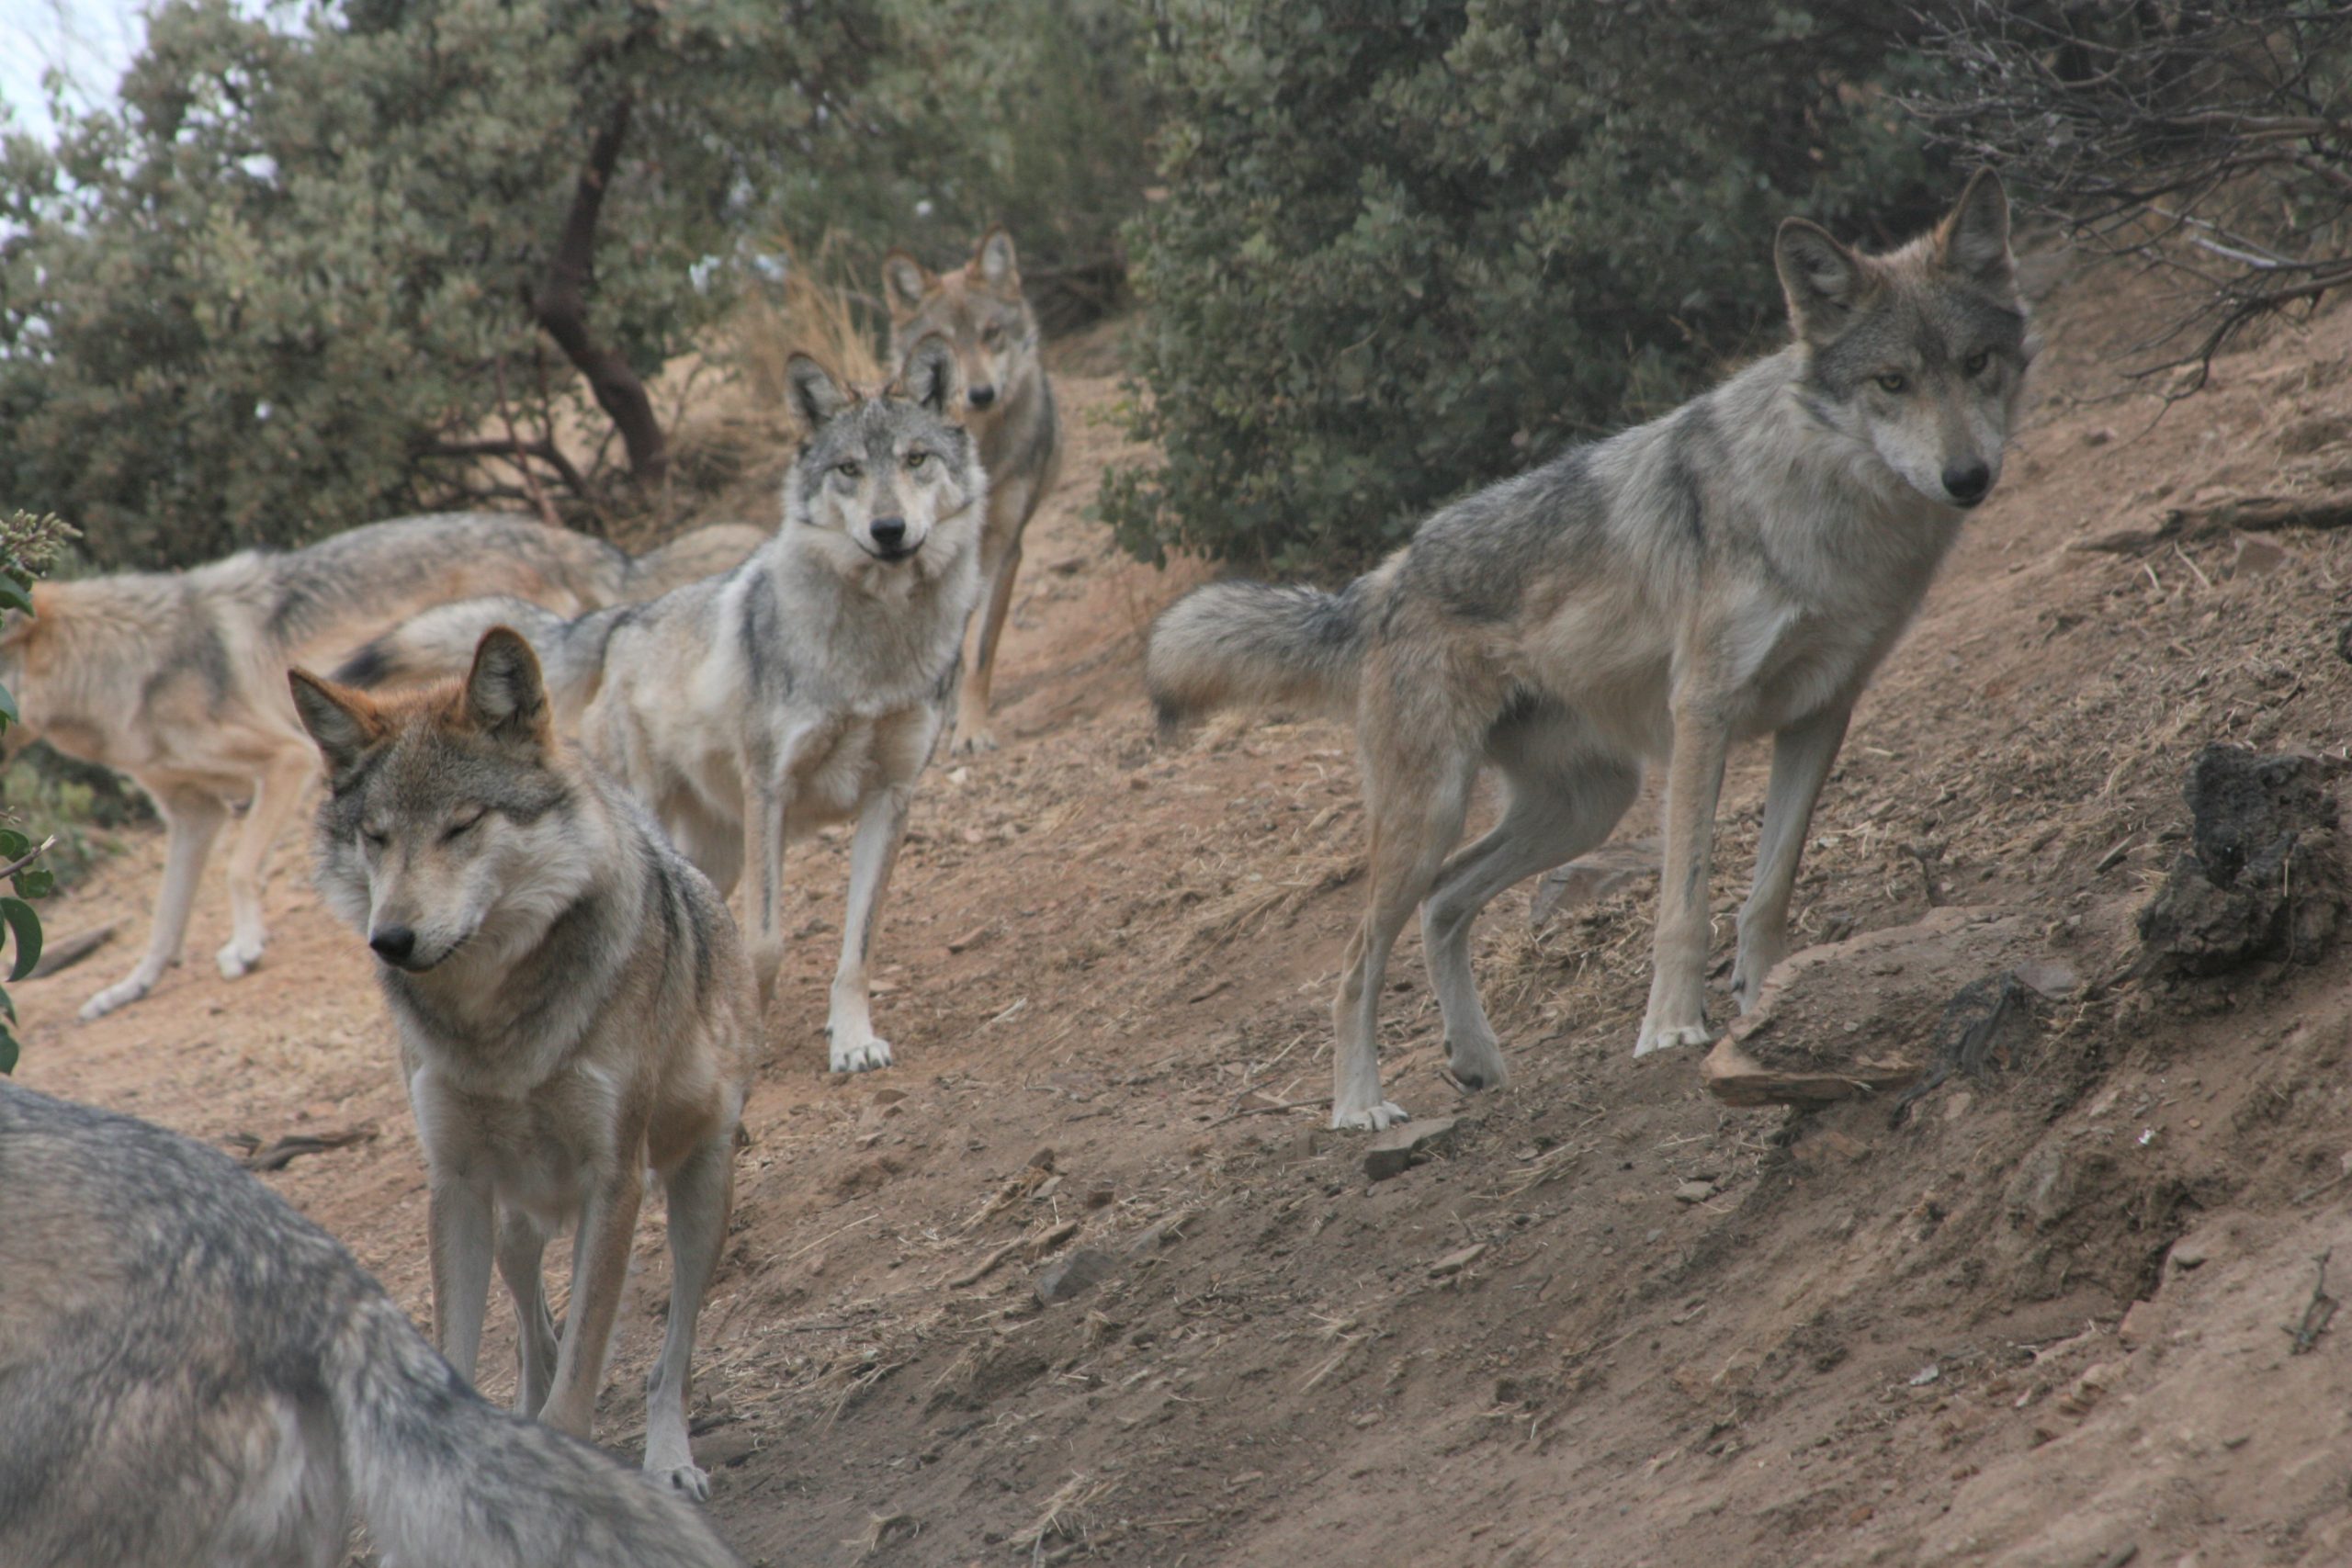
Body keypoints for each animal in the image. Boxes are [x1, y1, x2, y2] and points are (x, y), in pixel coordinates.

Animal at [0, 512, 764, 1022]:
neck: (124, 665)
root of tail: (577, 541)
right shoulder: (193, 812)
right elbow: (165, 917)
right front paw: (129, 986)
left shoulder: (283, 762)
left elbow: (240, 869)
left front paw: (246, 946)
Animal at [288, 628, 756, 1500]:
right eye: (377, 836)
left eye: (462, 826)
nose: (390, 939)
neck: (495, 1028)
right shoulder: (457, 1183)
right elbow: (476, 1354)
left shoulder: (615, 1178)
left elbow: (582, 1378)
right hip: (517, 1222)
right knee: (535, 1335)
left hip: (700, 1193)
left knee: (669, 1355)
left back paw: (670, 1461)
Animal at [330, 338, 982, 1078]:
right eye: (849, 469)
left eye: (915, 459)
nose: (888, 529)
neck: (875, 651)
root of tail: (619, 622)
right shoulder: (771, 791)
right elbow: (765, 943)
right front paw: (749, 1039)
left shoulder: (891, 797)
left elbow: (858, 948)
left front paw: (851, 1040)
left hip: (715, 855)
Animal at [883, 227, 1063, 753]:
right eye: (944, 346)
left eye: (992, 333)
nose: (981, 393)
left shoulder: (1006, 548)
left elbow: (981, 648)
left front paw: (972, 728)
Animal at [1147, 172, 2034, 1130]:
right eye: (1891, 381)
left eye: (1975, 363)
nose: (1968, 477)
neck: (1825, 506)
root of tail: (1380, 580)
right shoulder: (1704, 712)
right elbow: (1685, 902)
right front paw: (1673, 1027)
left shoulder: (1821, 713)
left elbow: (1768, 891)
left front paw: (1766, 1000)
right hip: (1437, 812)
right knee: (1355, 964)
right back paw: (1360, 1108)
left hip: (1587, 805)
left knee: (1444, 902)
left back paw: (1478, 1061)